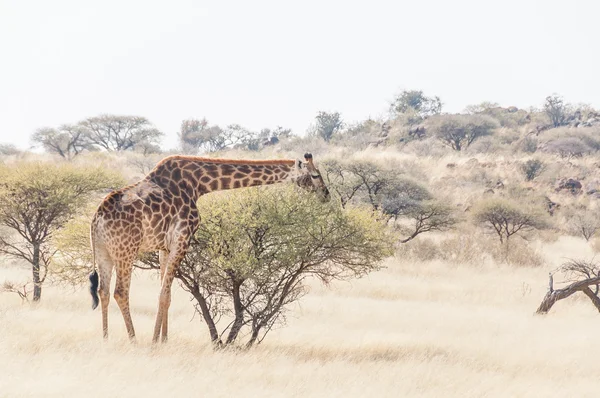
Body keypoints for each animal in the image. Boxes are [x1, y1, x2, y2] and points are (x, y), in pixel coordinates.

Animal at [88, 152, 328, 342]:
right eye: (315, 175)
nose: (326, 194)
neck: (199, 185)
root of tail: (97, 219)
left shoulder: (164, 247)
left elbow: (165, 294)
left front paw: (163, 339)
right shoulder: (182, 239)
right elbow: (164, 294)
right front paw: (156, 341)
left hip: (104, 252)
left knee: (103, 291)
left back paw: (105, 339)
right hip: (126, 251)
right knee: (120, 292)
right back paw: (134, 340)